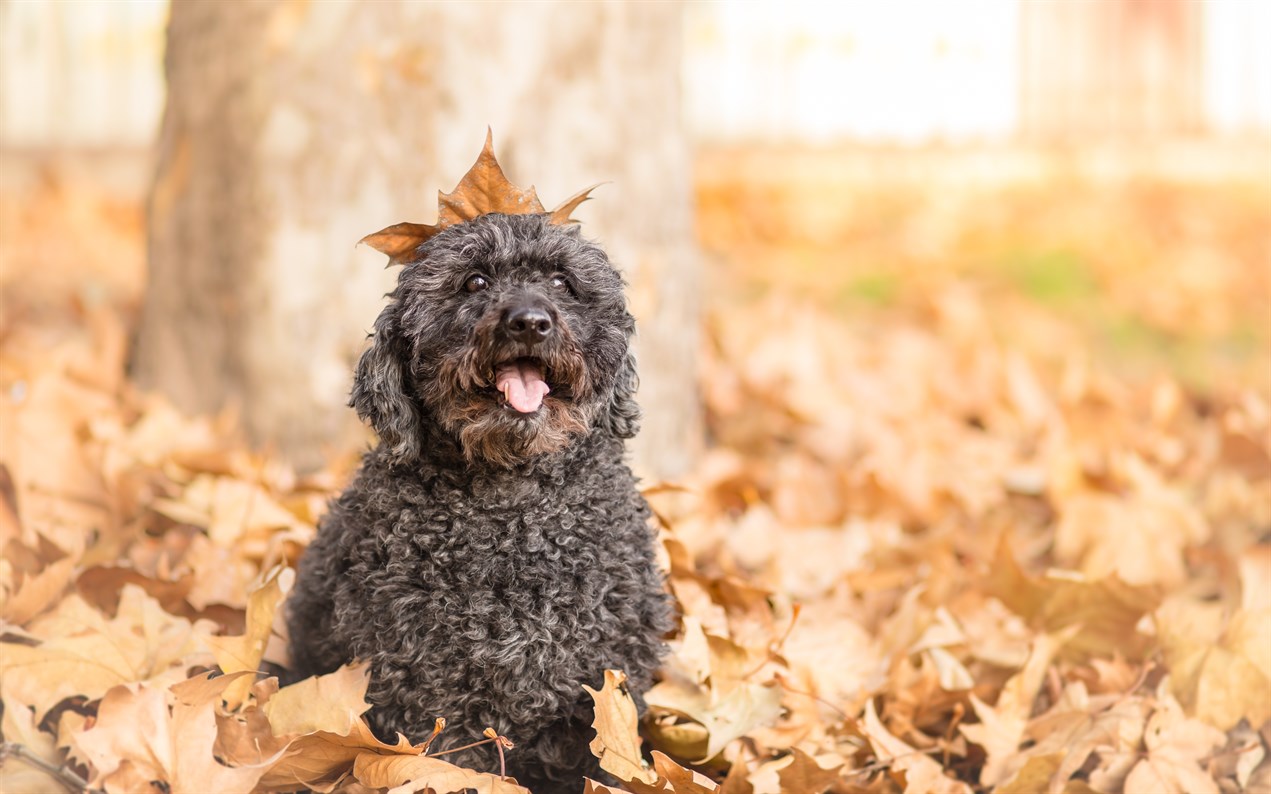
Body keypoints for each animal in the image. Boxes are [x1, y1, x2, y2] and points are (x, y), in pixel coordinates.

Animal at [288, 207, 676, 787]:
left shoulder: (608, 694)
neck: (512, 512)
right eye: (474, 282)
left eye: (561, 282)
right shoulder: (423, 688)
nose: (530, 321)